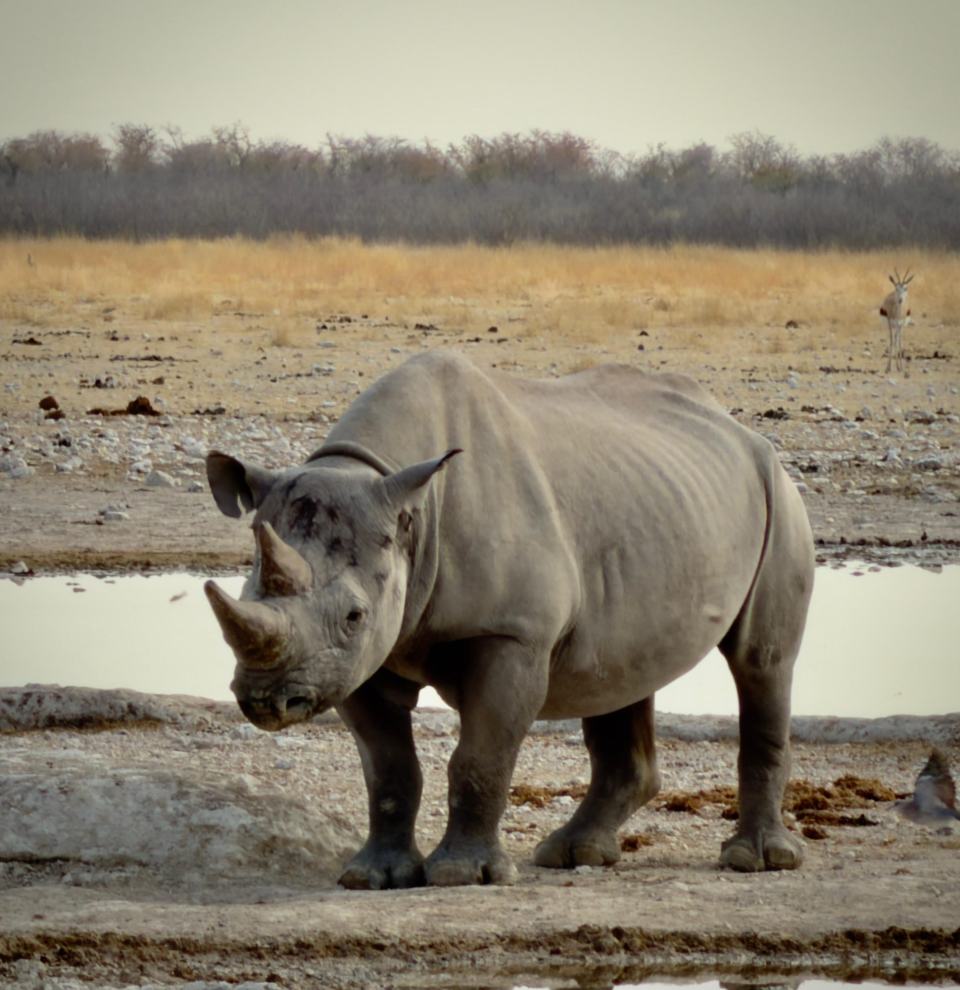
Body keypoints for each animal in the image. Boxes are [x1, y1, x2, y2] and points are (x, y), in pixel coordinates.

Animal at [204, 350, 814, 888]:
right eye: (246, 592)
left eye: (354, 615)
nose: (268, 700)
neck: (405, 507)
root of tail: (741, 430)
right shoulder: (357, 660)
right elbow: (388, 767)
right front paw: (372, 877)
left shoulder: (512, 632)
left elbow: (480, 758)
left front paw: (461, 875)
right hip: (657, 500)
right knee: (620, 671)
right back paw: (573, 854)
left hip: (779, 493)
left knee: (761, 660)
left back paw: (758, 861)